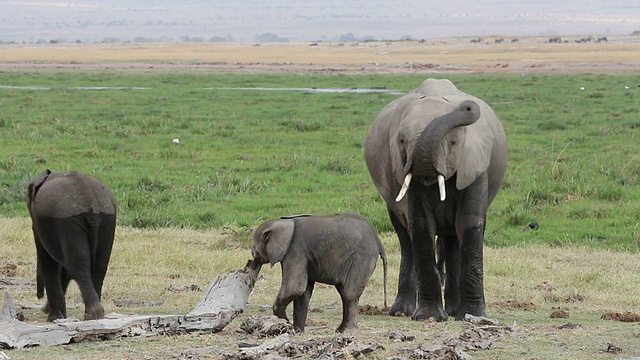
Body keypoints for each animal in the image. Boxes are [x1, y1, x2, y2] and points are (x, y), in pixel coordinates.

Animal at [26, 170, 117, 322]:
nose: (39, 297)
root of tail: (91, 201)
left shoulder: (42, 225)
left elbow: (48, 260)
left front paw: (53, 317)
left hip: (69, 222)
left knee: (78, 266)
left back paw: (92, 314)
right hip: (107, 221)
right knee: (99, 267)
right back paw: (95, 315)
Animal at [252, 212, 388, 334]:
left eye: (253, 249)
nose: (253, 262)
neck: (280, 222)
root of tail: (377, 239)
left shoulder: (295, 250)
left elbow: (295, 288)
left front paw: (286, 325)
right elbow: (303, 292)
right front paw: (297, 331)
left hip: (361, 259)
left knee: (349, 293)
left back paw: (348, 331)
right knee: (344, 292)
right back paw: (340, 330)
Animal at [362, 78, 508, 320]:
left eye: (454, 143)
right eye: (401, 142)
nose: (467, 107)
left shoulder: (475, 164)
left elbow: (469, 223)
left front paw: (473, 316)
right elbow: (421, 226)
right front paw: (429, 317)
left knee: (452, 240)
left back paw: (454, 310)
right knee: (406, 238)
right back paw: (402, 312)